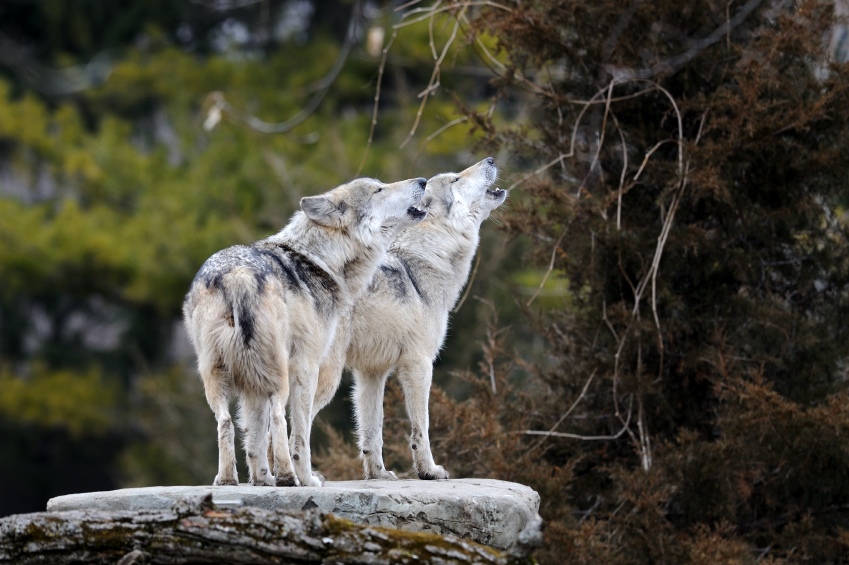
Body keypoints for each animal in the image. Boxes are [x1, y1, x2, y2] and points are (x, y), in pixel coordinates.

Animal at [183, 176, 427, 488]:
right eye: (378, 189)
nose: (423, 180)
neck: (320, 260)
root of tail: (238, 275)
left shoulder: (252, 384)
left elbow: (255, 439)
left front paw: (262, 479)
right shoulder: (307, 366)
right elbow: (300, 435)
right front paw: (305, 478)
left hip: (217, 375)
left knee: (226, 422)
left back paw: (228, 480)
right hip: (279, 373)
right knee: (279, 417)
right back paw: (290, 477)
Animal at [313, 157, 506, 480]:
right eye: (456, 179)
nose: (491, 159)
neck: (426, 259)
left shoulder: (371, 373)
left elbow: (372, 431)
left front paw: (378, 475)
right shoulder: (419, 364)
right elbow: (421, 428)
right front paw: (429, 470)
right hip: (326, 378)